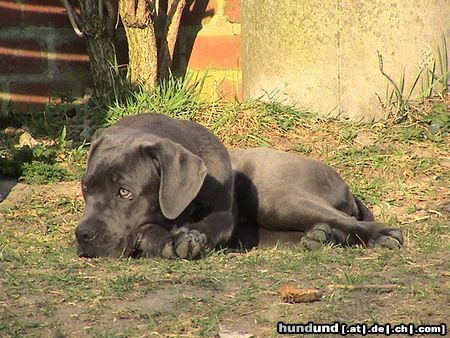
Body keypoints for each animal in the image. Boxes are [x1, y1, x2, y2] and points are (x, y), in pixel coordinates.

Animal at [75, 113, 234, 258]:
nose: (82, 234)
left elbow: (221, 220)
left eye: (124, 192)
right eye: (85, 188)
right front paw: (168, 241)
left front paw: (194, 235)